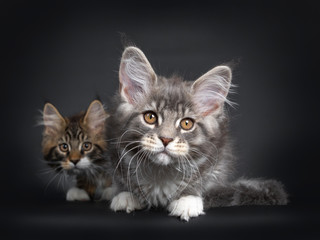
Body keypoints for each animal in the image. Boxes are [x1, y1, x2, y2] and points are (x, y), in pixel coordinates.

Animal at [107, 47, 288, 221]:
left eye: (186, 124)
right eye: (150, 117)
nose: (166, 139)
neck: (161, 173)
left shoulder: (216, 162)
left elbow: (200, 183)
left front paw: (188, 200)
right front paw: (126, 195)